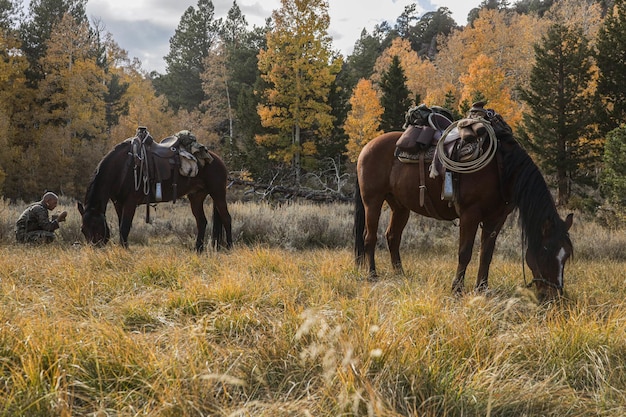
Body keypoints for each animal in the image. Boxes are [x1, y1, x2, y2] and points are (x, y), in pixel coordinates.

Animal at [77, 135, 232, 249]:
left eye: (96, 226)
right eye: (83, 230)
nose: (94, 249)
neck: (122, 168)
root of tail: (218, 159)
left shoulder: (130, 202)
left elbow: (124, 227)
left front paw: (125, 250)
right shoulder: (118, 203)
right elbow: (122, 226)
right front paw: (123, 248)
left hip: (217, 193)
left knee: (226, 218)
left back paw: (229, 247)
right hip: (196, 196)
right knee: (202, 221)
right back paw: (198, 249)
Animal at [352, 107, 572, 300]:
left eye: (567, 255)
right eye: (546, 250)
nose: (555, 296)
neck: (502, 167)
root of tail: (367, 147)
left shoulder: (497, 218)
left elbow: (486, 254)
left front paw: (482, 288)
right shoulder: (470, 214)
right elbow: (464, 253)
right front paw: (457, 289)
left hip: (400, 206)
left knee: (392, 236)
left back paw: (400, 274)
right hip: (373, 201)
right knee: (370, 237)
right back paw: (372, 275)